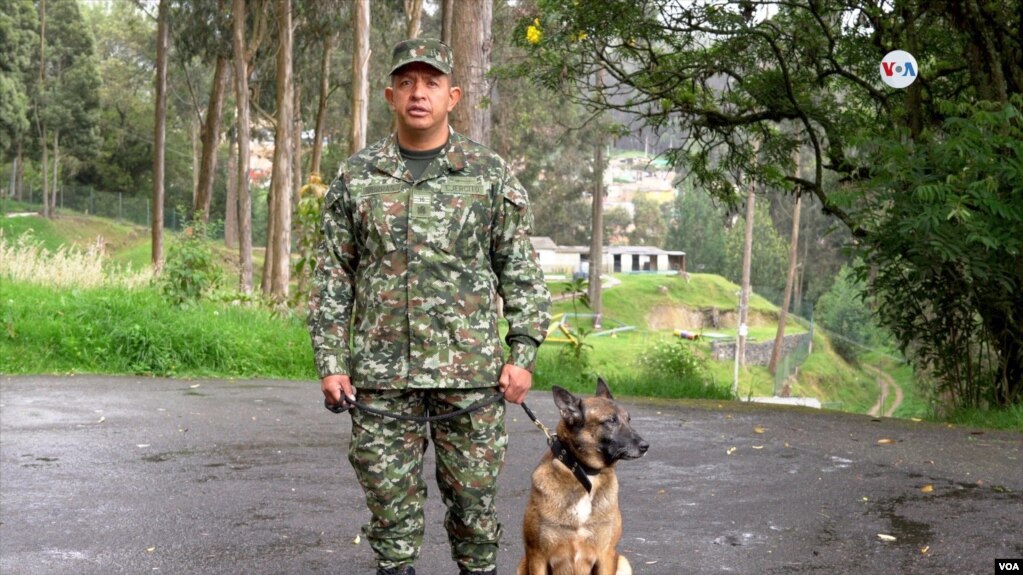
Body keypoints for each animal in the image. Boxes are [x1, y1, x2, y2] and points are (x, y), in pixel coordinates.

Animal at [515, 376, 650, 572]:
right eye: (611, 420)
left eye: (628, 419)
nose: (645, 446)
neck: (585, 474)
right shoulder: (537, 555)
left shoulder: (605, 555)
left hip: (623, 562)